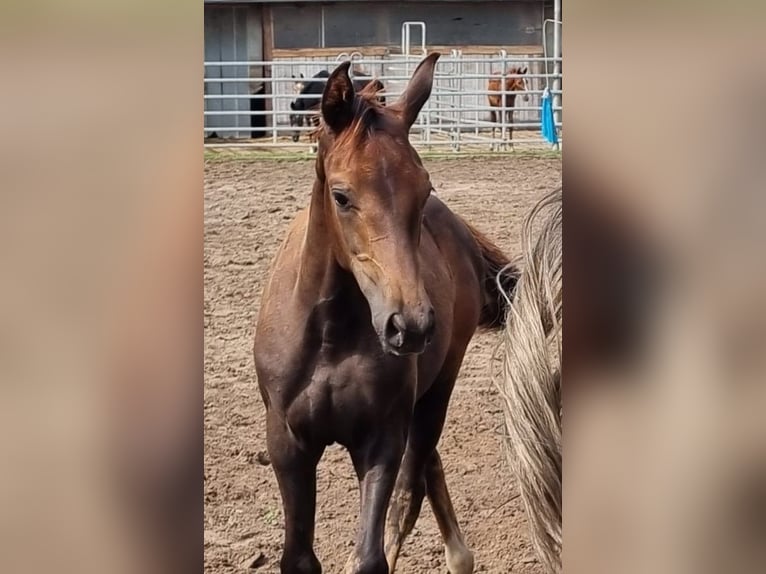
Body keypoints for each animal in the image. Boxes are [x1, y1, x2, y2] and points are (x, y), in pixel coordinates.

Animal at [255, 51, 520, 572]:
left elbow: (373, 551)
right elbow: (299, 557)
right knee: (427, 465)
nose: (409, 326)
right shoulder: (288, 445)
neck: (332, 336)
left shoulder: (380, 439)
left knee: (413, 482)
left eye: (423, 189)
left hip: (437, 388)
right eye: (341, 195)